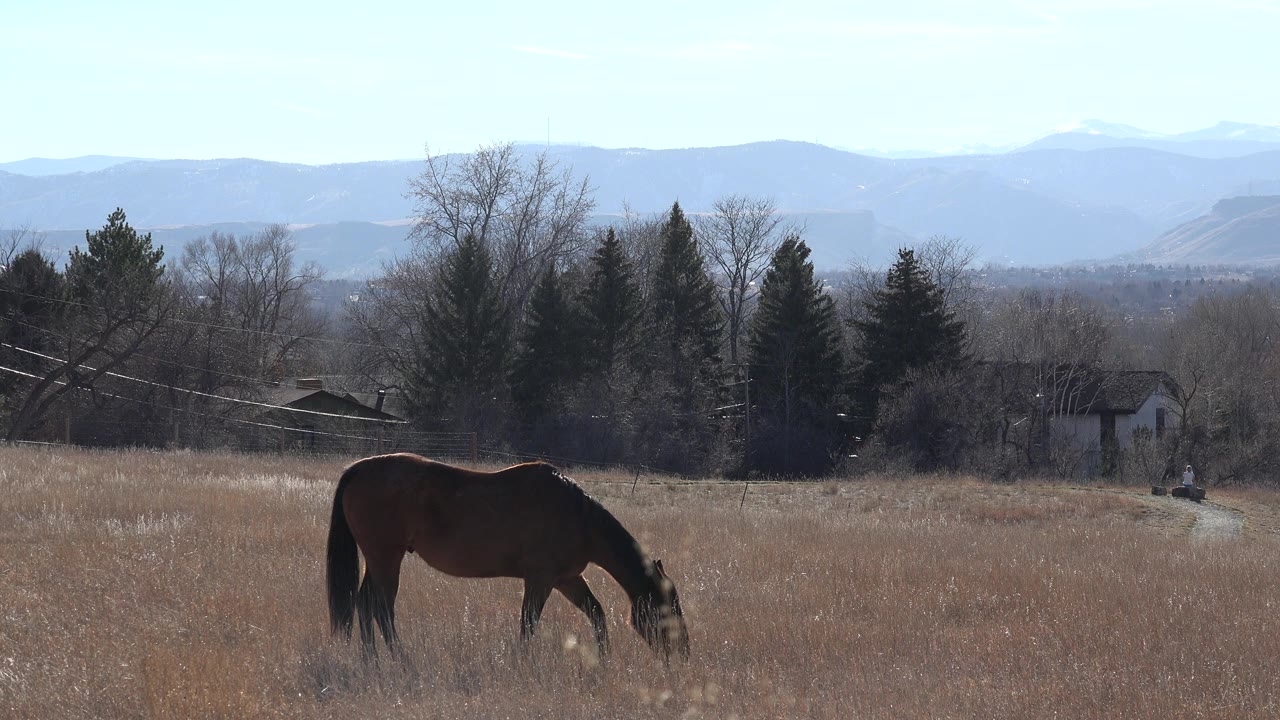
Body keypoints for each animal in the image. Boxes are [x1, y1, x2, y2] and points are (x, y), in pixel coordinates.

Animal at [325, 453, 690, 661]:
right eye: (668, 605)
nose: (684, 651)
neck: (578, 516)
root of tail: (359, 469)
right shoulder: (541, 580)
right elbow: (528, 625)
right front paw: (523, 663)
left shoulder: (567, 579)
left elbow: (597, 614)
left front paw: (604, 660)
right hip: (386, 559)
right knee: (382, 609)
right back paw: (400, 659)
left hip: (378, 560)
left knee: (364, 605)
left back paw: (370, 660)